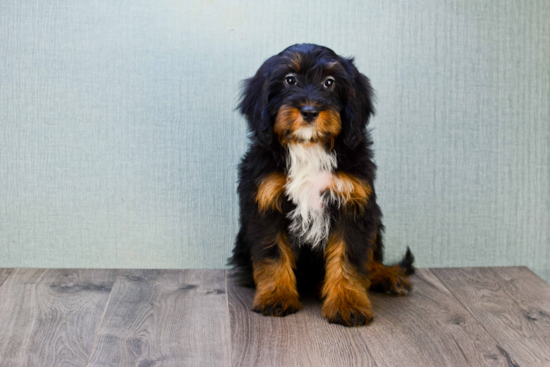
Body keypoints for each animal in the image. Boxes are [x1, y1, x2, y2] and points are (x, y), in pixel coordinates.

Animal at [229, 43, 414, 328]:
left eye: (329, 82)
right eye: (289, 80)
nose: (309, 111)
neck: (309, 147)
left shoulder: (352, 202)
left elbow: (349, 256)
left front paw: (348, 302)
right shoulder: (266, 203)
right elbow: (272, 254)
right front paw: (276, 296)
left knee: (371, 258)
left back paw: (386, 276)